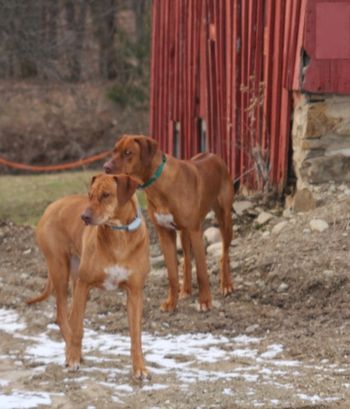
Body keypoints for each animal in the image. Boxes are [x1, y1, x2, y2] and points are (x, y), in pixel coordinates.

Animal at [26, 173, 149, 380]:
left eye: (106, 195)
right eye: (90, 195)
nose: (84, 217)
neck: (119, 235)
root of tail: (51, 206)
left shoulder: (135, 292)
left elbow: (136, 336)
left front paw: (139, 367)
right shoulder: (84, 284)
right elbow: (78, 328)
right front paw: (73, 359)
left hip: (73, 276)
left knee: (68, 315)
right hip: (60, 269)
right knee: (62, 316)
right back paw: (72, 353)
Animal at [104, 135, 235, 310]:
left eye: (128, 152)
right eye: (114, 150)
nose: (106, 167)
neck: (159, 183)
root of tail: (214, 155)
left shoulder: (195, 231)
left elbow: (202, 272)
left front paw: (205, 301)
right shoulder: (164, 233)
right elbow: (172, 274)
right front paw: (171, 302)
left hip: (224, 219)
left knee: (224, 254)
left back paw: (226, 284)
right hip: (184, 232)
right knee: (187, 259)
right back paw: (186, 289)